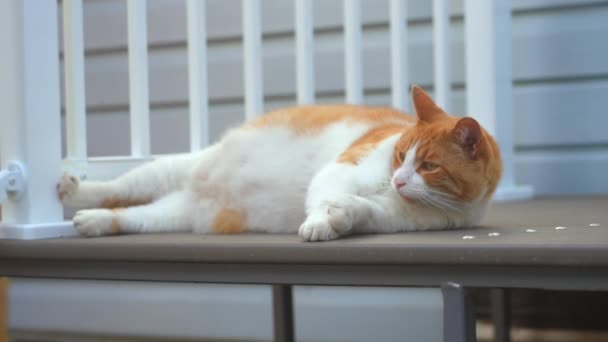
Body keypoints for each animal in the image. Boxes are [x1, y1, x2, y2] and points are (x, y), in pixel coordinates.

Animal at [57, 85, 502, 242]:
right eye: (399, 154)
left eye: (428, 166)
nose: (398, 180)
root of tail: (198, 190)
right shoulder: (343, 168)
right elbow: (322, 197)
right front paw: (320, 223)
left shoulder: (395, 217)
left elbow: (361, 210)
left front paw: (341, 218)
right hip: (171, 168)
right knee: (121, 186)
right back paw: (77, 192)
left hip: (175, 214)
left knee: (135, 217)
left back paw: (96, 222)